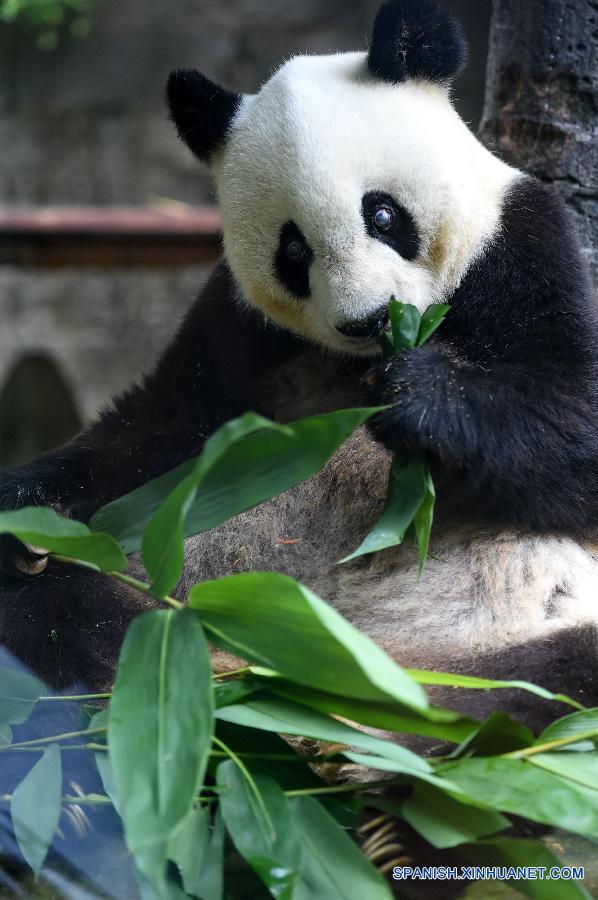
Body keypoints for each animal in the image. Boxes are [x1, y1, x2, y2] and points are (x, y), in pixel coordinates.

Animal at [1, 0, 598, 740]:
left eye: (382, 212)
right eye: (293, 251)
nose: (368, 320)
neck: (357, 363)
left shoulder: (520, 245)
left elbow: (572, 428)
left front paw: (418, 399)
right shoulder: (240, 329)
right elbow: (154, 431)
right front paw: (23, 513)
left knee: (554, 688)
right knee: (59, 606)